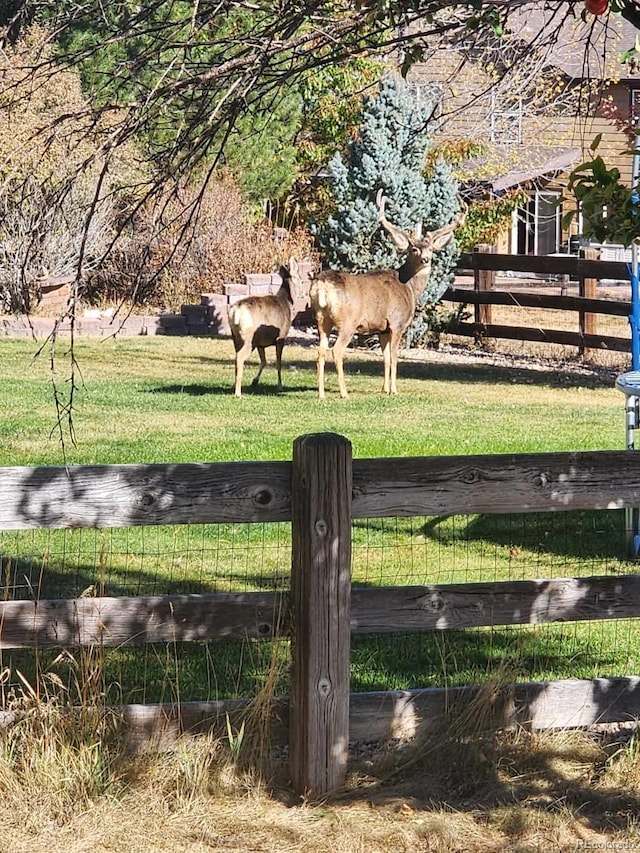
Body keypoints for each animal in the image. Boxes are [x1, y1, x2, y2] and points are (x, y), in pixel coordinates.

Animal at [228, 256, 302, 400]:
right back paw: (238, 393)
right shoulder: (281, 337)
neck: (287, 303)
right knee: (240, 357)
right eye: (301, 279)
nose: (304, 293)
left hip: (236, 337)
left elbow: (264, 361)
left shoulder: (260, 343)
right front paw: (279, 386)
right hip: (249, 339)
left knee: (236, 358)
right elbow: (278, 363)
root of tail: (236, 312)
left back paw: (236, 386)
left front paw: (254, 381)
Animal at [310, 191, 464, 398]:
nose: (426, 259)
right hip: (348, 321)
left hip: (321, 318)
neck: (409, 287)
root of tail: (323, 286)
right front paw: (394, 390)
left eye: (431, 248)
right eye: (413, 249)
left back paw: (321, 394)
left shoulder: (382, 328)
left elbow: (385, 358)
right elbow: (394, 357)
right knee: (336, 350)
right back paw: (344, 393)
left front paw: (384, 389)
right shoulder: (397, 323)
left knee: (320, 351)